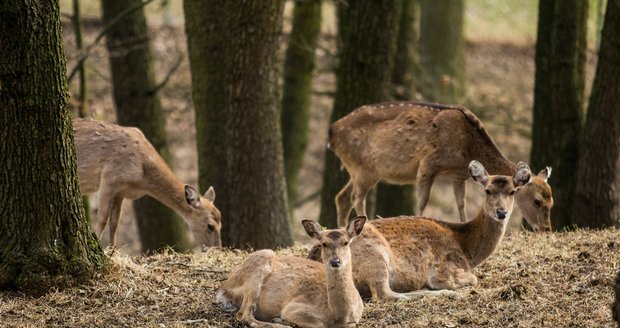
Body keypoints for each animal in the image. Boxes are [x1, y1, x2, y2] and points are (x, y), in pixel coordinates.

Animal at [73, 119, 223, 247]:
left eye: (221, 223)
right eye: (210, 226)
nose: (217, 249)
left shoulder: (121, 191)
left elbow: (114, 222)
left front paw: (112, 252)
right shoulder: (108, 178)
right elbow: (103, 219)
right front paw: (99, 247)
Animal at [216, 218, 366, 328]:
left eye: (346, 242)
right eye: (323, 244)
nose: (335, 261)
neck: (338, 315)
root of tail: (224, 287)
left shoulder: (355, 318)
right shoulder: (293, 307)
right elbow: (319, 324)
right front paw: (281, 319)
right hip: (258, 267)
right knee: (243, 315)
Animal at [308, 160, 532, 302]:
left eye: (513, 191)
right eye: (488, 190)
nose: (501, 212)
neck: (466, 248)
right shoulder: (445, 269)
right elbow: (473, 278)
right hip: (375, 256)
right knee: (384, 294)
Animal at [332, 100, 556, 231]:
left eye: (552, 201)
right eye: (537, 201)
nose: (546, 229)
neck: (467, 147)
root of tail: (332, 133)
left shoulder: (459, 175)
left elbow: (461, 202)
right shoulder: (427, 164)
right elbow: (422, 201)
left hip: (361, 170)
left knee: (342, 197)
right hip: (363, 167)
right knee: (357, 197)